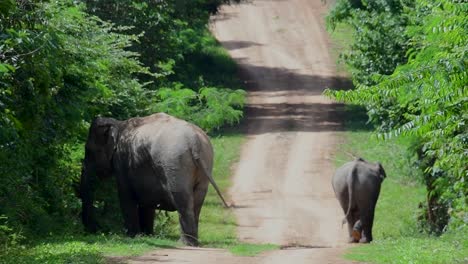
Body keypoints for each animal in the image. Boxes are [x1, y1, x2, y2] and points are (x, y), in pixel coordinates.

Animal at [80, 112, 229, 246]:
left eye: (88, 150)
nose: (93, 231)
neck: (117, 124)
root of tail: (194, 141)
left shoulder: (121, 161)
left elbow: (125, 196)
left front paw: (132, 236)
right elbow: (146, 199)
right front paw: (147, 235)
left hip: (175, 162)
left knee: (182, 199)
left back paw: (185, 243)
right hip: (205, 162)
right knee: (197, 201)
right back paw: (192, 242)